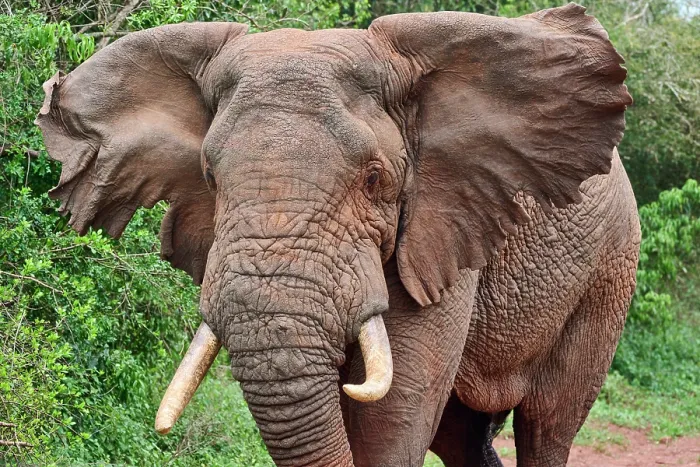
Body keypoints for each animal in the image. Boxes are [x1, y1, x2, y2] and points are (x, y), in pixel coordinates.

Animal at [36, 3, 640, 466]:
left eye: (375, 179)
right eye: (209, 177)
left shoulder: (437, 234)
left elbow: (392, 418)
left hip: (608, 273)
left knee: (548, 422)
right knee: (461, 436)